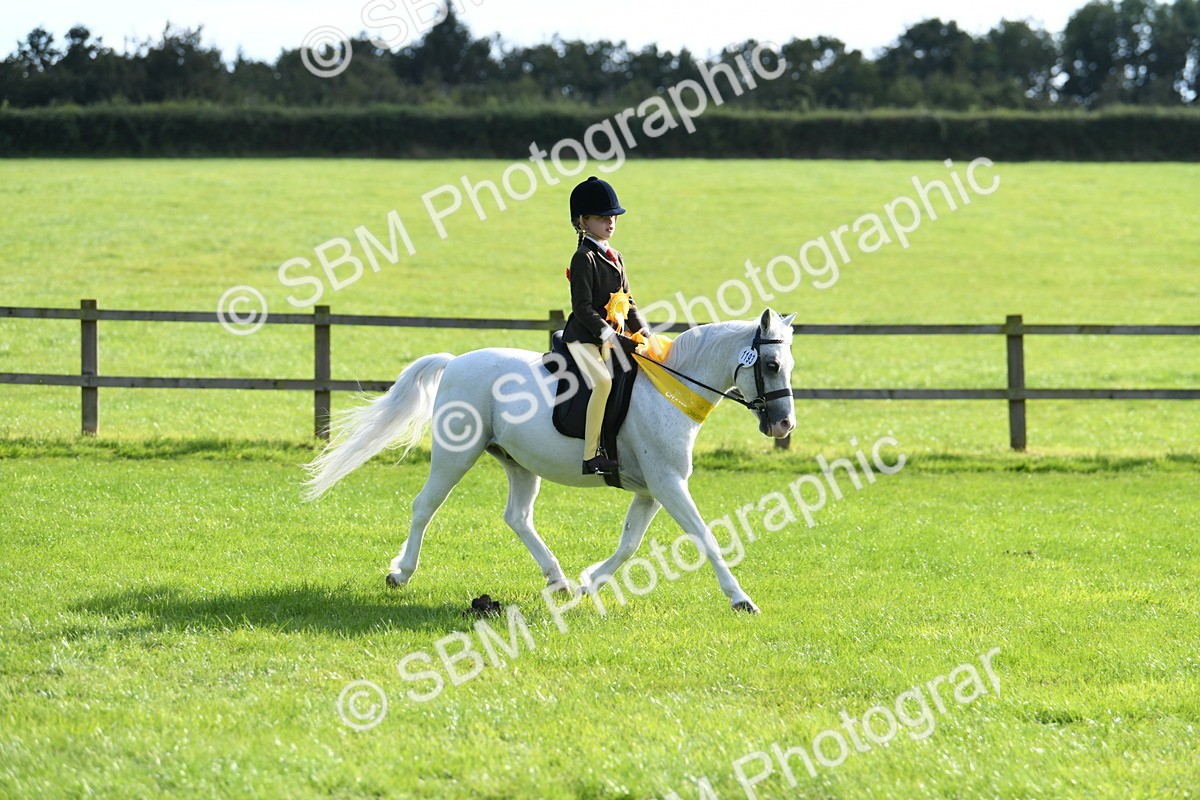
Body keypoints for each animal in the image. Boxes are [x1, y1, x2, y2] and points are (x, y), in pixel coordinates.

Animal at [303, 308, 797, 613]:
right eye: (771, 365)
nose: (784, 425)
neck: (670, 389)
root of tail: (457, 361)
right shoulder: (669, 484)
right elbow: (704, 537)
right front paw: (740, 600)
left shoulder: (653, 489)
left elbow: (629, 542)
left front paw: (590, 581)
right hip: (456, 454)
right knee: (425, 506)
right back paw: (400, 574)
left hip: (518, 462)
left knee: (517, 517)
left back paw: (557, 579)